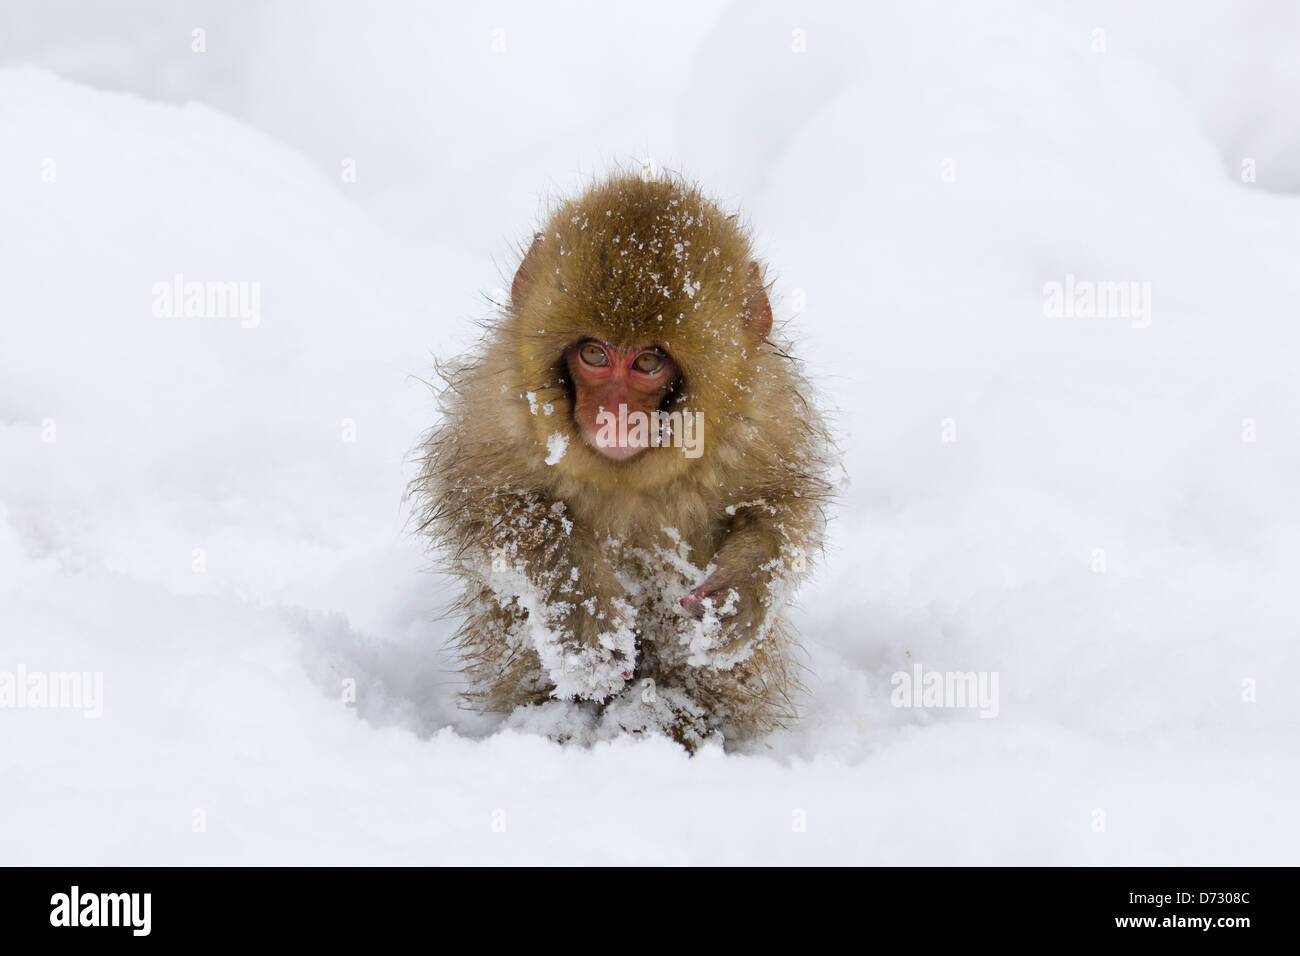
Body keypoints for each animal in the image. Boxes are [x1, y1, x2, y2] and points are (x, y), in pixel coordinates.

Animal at [413, 175, 832, 749]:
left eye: (648, 362)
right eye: (594, 354)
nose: (614, 415)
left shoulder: (762, 424)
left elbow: (781, 513)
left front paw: (737, 599)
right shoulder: (500, 410)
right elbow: (488, 510)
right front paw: (584, 615)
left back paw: (671, 718)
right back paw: (560, 722)